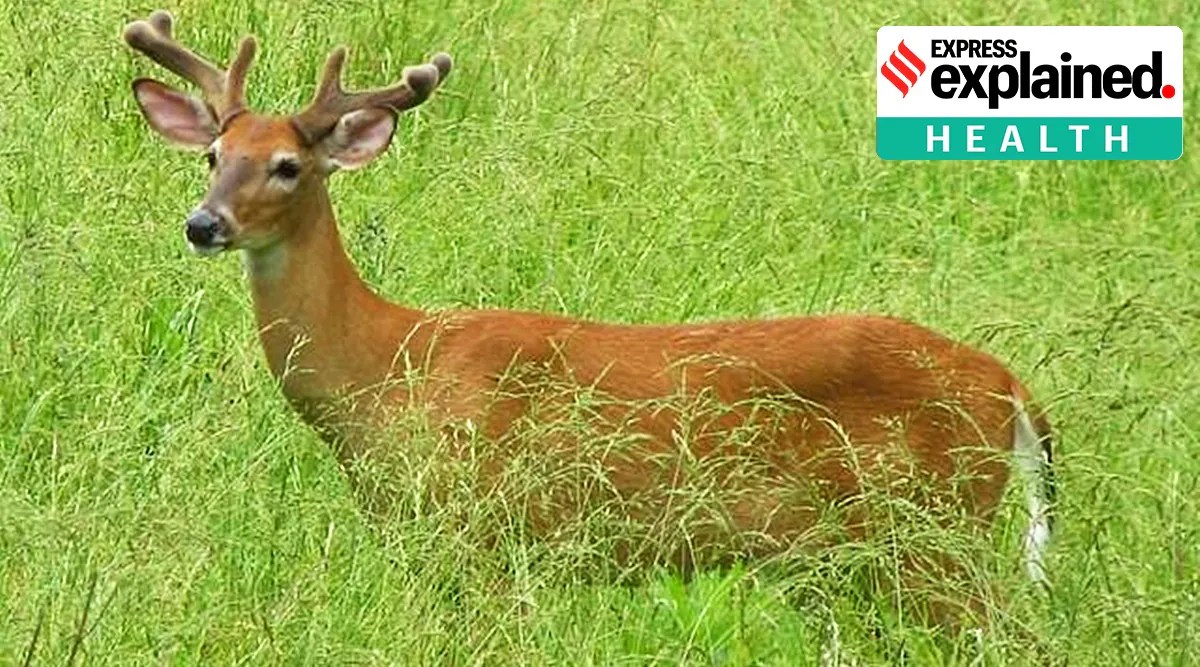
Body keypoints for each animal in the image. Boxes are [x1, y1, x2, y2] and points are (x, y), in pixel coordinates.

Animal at [122, 10, 1056, 621]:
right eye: (213, 154)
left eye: (287, 165)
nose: (204, 223)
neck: (386, 368)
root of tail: (1012, 387)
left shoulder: (485, 531)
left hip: (933, 533)